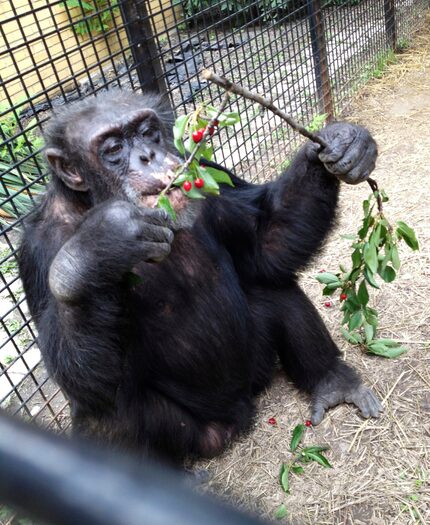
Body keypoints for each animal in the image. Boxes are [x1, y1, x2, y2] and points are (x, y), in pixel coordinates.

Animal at [18, 89, 382, 462]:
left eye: (148, 132)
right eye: (113, 148)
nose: (149, 156)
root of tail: (240, 416)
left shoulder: (206, 172)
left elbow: (266, 244)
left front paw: (342, 143)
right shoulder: (40, 247)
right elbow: (84, 380)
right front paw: (99, 246)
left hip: (256, 366)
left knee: (273, 288)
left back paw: (333, 381)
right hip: (196, 435)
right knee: (105, 408)